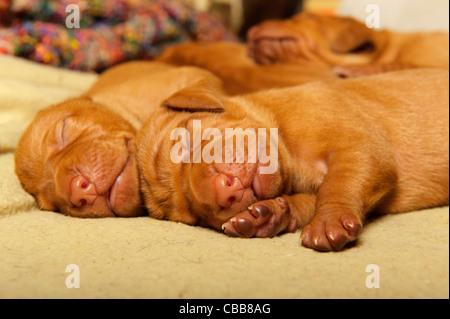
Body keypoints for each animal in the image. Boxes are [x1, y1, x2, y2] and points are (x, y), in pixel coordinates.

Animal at [139, 69, 448, 252]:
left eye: (185, 140)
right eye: (192, 216)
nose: (224, 192)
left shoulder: (361, 145)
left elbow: (339, 184)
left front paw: (328, 223)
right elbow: (309, 200)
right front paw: (267, 215)